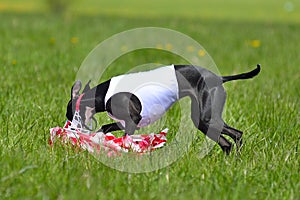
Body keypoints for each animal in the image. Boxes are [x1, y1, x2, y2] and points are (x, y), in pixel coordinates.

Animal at [65, 64, 260, 153]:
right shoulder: (128, 121)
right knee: (229, 141)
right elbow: (105, 127)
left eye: (69, 114)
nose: (71, 128)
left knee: (236, 135)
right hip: (202, 120)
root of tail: (219, 78)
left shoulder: (133, 120)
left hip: (206, 117)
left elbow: (126, 138)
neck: (105, 93)